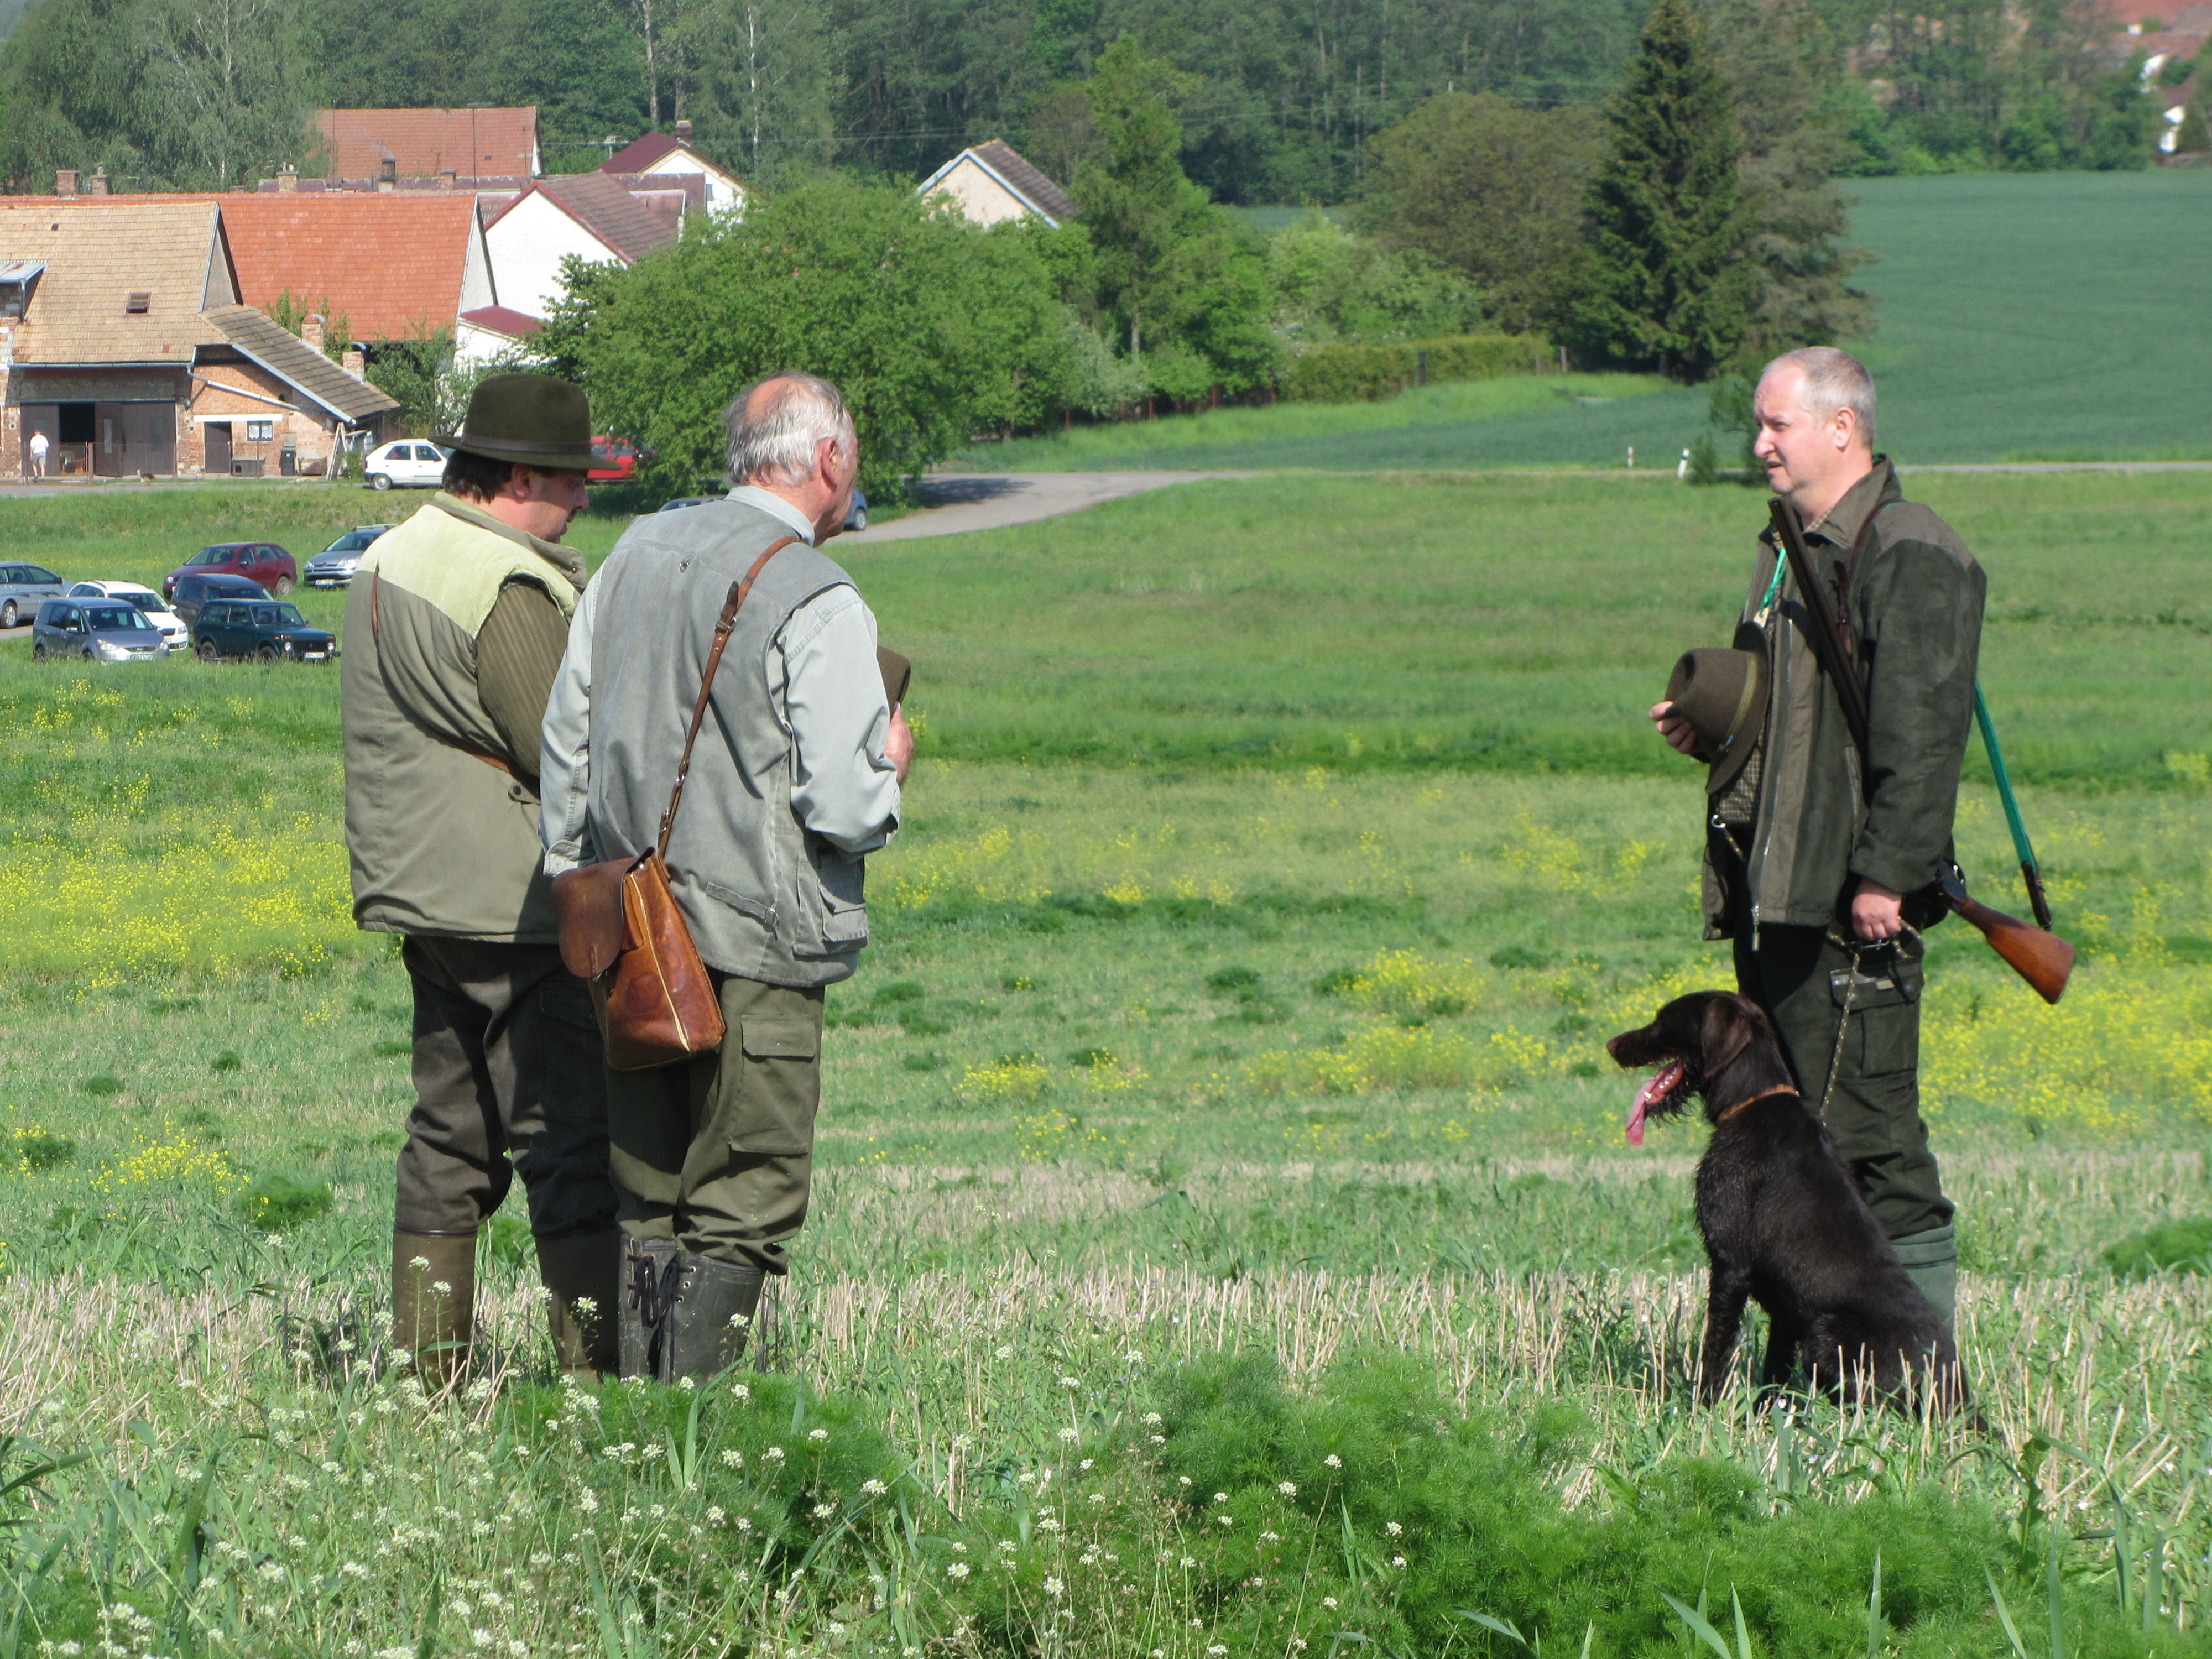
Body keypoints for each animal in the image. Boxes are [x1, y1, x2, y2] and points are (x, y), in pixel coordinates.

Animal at [1601, 995, 1964, 1407]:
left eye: (1663, 1020)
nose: (1612, 1045)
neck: (1752, 1100)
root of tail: (1954, 1395)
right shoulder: (1787, 1311)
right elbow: (1774, 1369)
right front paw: (1766, 1414)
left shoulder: (1731, 1265)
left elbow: (1716, 1348)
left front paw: (1703, 1409)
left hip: (1825, 1333)